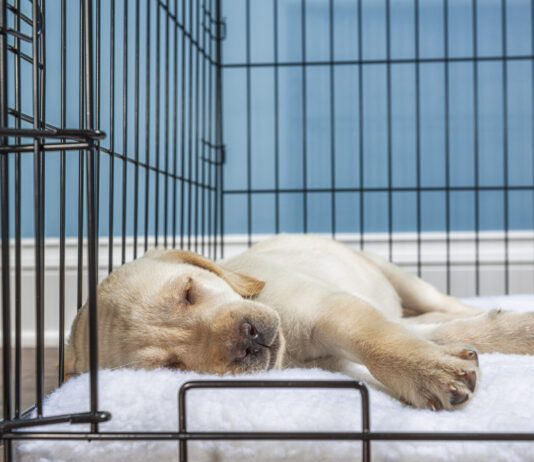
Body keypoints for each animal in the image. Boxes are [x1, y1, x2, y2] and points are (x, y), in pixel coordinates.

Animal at [66, 235, 534, 412]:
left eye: (188, 291)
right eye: (171, 366)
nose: (247, 340)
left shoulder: (332, 309)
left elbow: (381, 339)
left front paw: (432, 369)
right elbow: (430, 334)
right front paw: (443, 358)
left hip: (399, 277)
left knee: (443, 305)